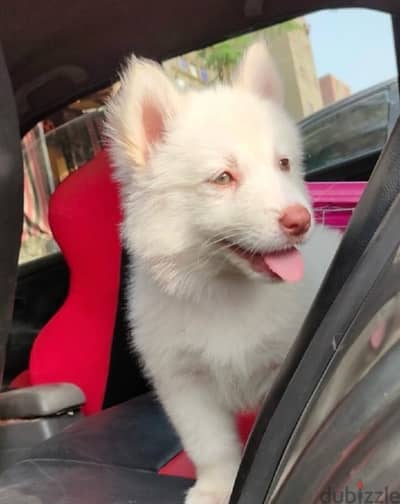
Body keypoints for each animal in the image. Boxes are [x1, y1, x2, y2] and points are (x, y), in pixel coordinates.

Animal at [104, 40, 340, 504]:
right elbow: (209, 444)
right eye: (223, 178)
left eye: (283, 164)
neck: (225, 290)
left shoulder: (282, 366)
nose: (300, 219)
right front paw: (216, 487)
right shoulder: (183, 380)